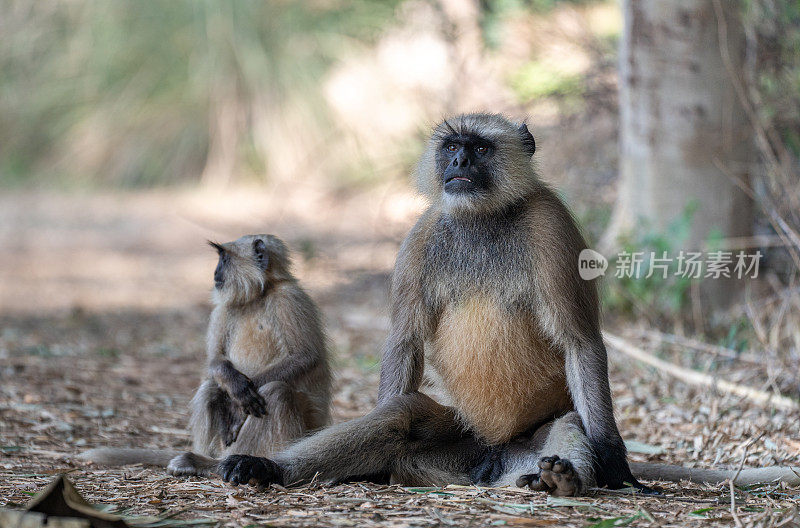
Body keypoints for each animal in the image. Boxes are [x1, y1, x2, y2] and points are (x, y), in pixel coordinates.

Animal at [79, 233, 330, 476]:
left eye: (224, 258)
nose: (215, 272)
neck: (259, 296)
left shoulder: (290, 298)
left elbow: (304, 356)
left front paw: (237, 408)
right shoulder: (222, 310)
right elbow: (215, 361)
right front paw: (236, 388)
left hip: (305, 430)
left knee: (277, 392)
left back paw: (218, 464)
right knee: (211, 386)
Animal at [217, 112, 800, 496]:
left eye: (479, 149)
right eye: (452, 146)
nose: (456, 161)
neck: (481, 217)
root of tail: (493, 454)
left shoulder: (551, 226)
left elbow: (579, 340)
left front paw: (615, 465)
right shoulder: (420, 237)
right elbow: (404, 343)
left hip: (526, 443)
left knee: (568, 423)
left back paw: (560, 479)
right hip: (458, 442)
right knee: (402, 415)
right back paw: (269, 469)